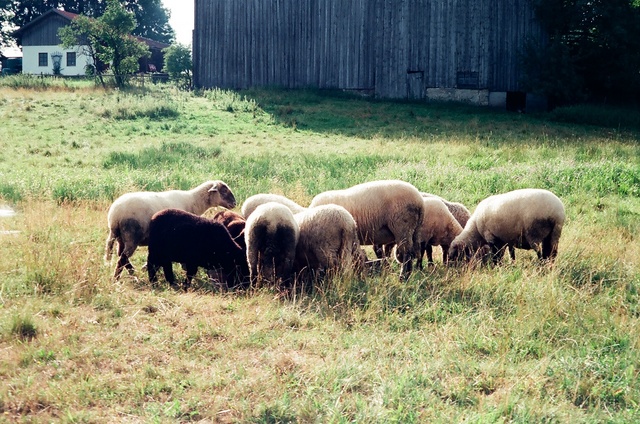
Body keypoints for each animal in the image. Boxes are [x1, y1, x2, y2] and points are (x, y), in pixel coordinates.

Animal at [105, 181, 238, 280]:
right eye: (224, 190)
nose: (234, 203)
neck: (194, 201)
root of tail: (115, 216)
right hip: (131, 236)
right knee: (122, 258)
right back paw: (116, 278)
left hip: (121, 237)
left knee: (121, 255)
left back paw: (132, 271)